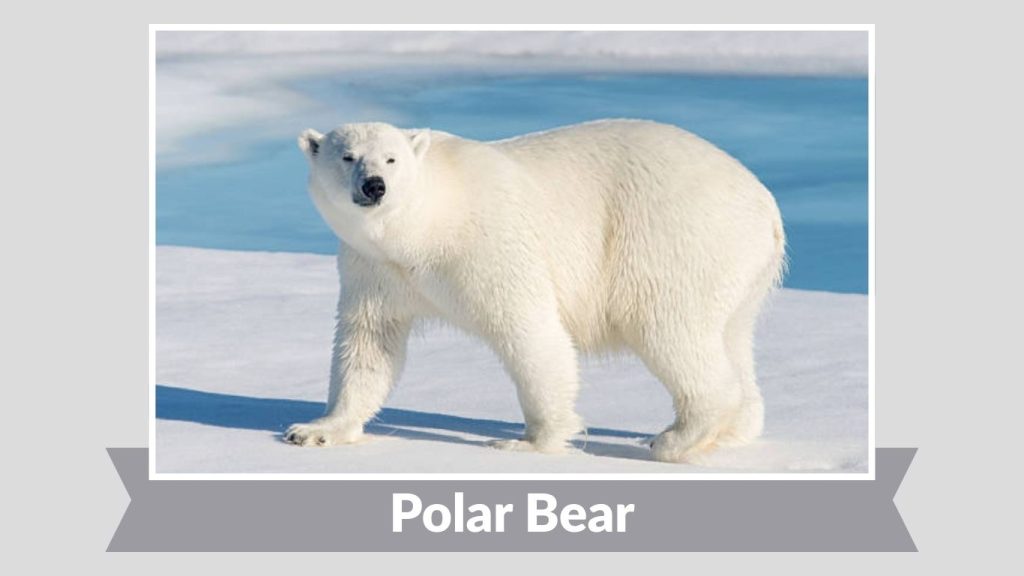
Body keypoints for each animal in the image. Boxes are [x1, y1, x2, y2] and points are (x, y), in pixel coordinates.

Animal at [285, 119, 786, 463]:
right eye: (347, 156)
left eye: (391, 158)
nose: (375, 186)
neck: (426, 225)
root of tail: (765, 202)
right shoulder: (375, 268)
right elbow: (369, 344)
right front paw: (315, 429)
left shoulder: (488, 244)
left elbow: (529, 331)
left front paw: (528, 442)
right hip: (739, 269)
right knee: (731, 336)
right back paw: (733, 430)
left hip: (672, 238)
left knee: (669, 329)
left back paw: (673, 438)